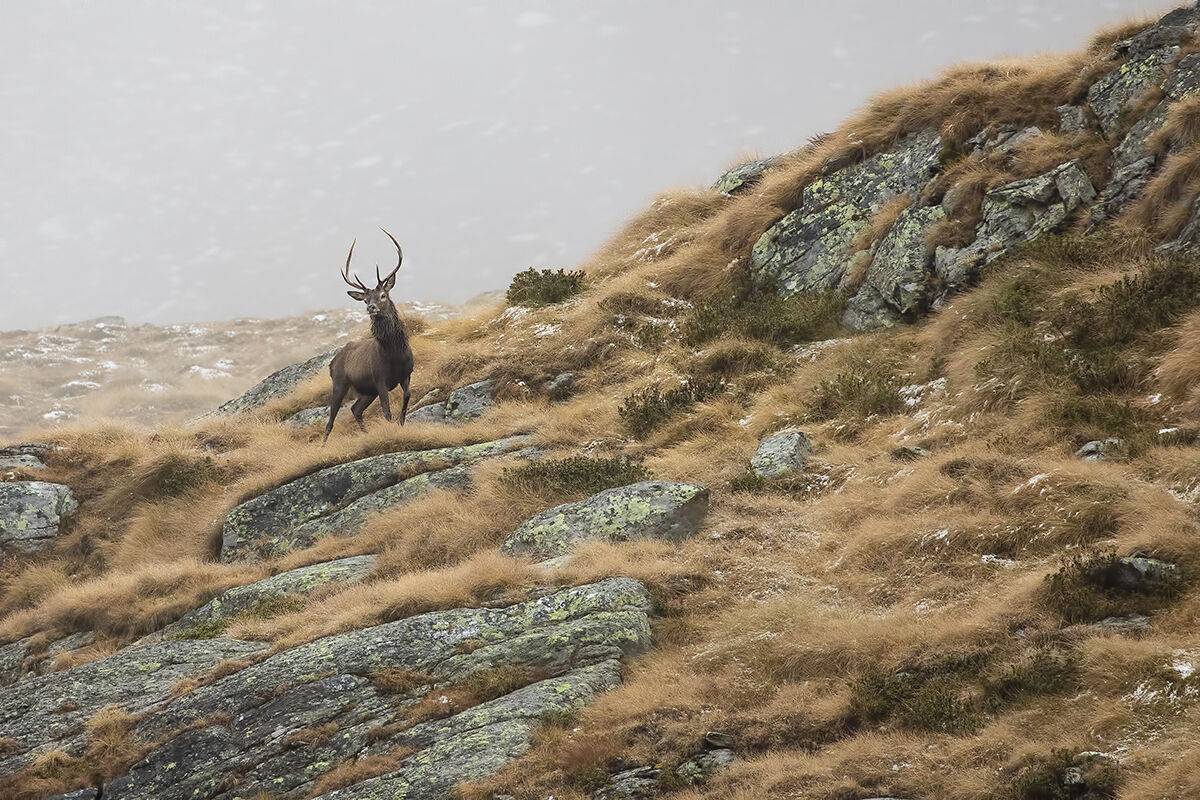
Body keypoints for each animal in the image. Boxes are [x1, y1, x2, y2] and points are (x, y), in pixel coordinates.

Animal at [323, 228, 414, 443]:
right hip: (339, 383)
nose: (371, 307)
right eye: (365, 300)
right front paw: (392, 429)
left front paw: (401, 423)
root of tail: (332, 362)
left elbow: (407, 396)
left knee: (356, 409)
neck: (395, 354)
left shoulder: (407, 374)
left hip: (366, 391)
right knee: (330, 421)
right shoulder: (380, 378)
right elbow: (386, 411)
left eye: (383, 295)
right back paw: (322, 445)